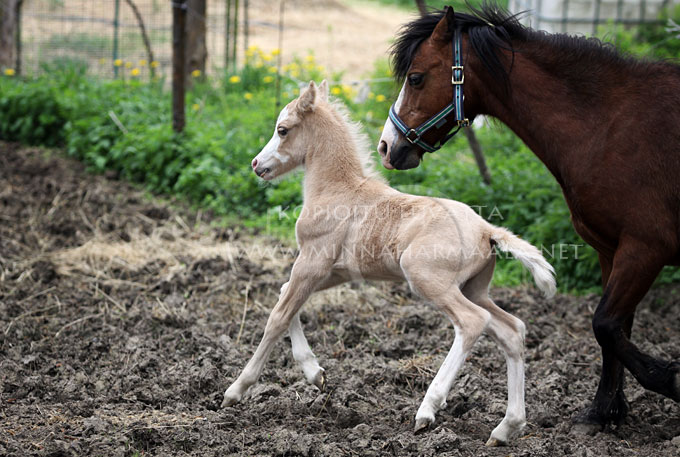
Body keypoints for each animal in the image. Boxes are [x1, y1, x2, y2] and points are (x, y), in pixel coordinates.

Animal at [220, 80, 556, 444]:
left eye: (282, 130)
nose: (256, 164)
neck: (336, 189)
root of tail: (487, 230)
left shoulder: (312, 262)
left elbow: (278, 316)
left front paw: (236, 389)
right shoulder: (335, 271)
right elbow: (285, 296)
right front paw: (316, 373)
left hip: (427, 279)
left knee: (472, 322)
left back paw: (428, 408)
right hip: (474, 288)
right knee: (511, 330)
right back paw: (506, 427)